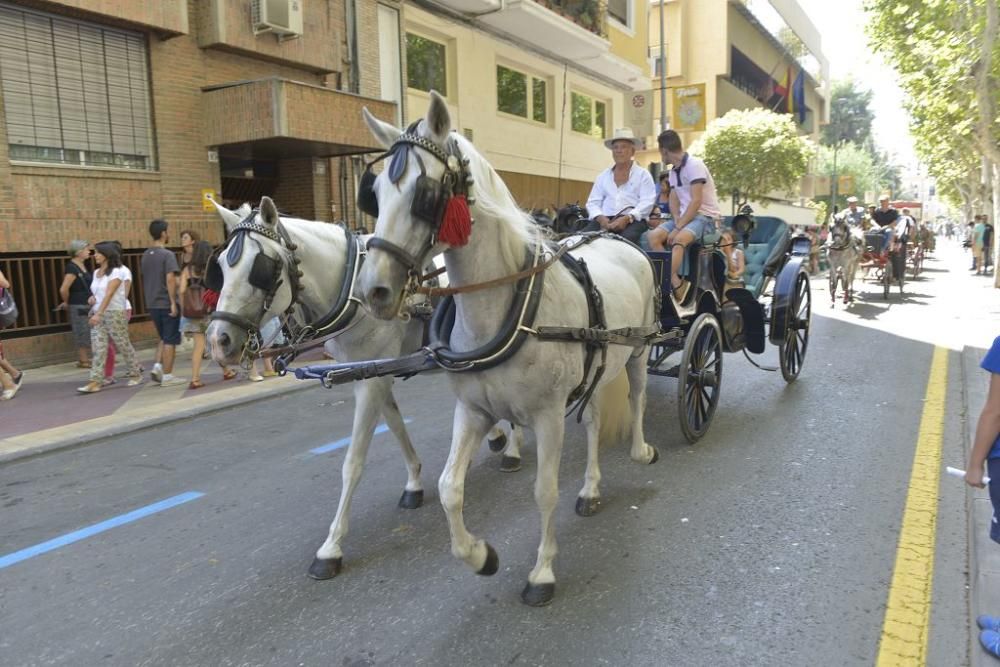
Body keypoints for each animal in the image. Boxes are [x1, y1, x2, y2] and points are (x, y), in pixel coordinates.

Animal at [204, 197, 524, 580]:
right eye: (221, 265)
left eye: (262, 267)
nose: (219, 341)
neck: (352, 292)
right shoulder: (369, 372)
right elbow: (397, 426)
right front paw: (414, 483)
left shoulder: (373, 379)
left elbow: (353, 462)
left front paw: (331, 548)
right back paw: (498, 437)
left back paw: (513, 448)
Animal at [356, 91, 660, 608]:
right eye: (373, 194)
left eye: (426, 193)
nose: (374, 290)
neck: (506, 309)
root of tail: (614, 235)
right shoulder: (474, 411)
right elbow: (448, 488)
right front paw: (480, 556)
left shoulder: (548, 415)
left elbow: (544, 491)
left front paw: (542, 573)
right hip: (598, 364)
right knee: (595, 422)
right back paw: (591, 489)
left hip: (638, 349)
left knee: (638, 398)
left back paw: (640, 449)